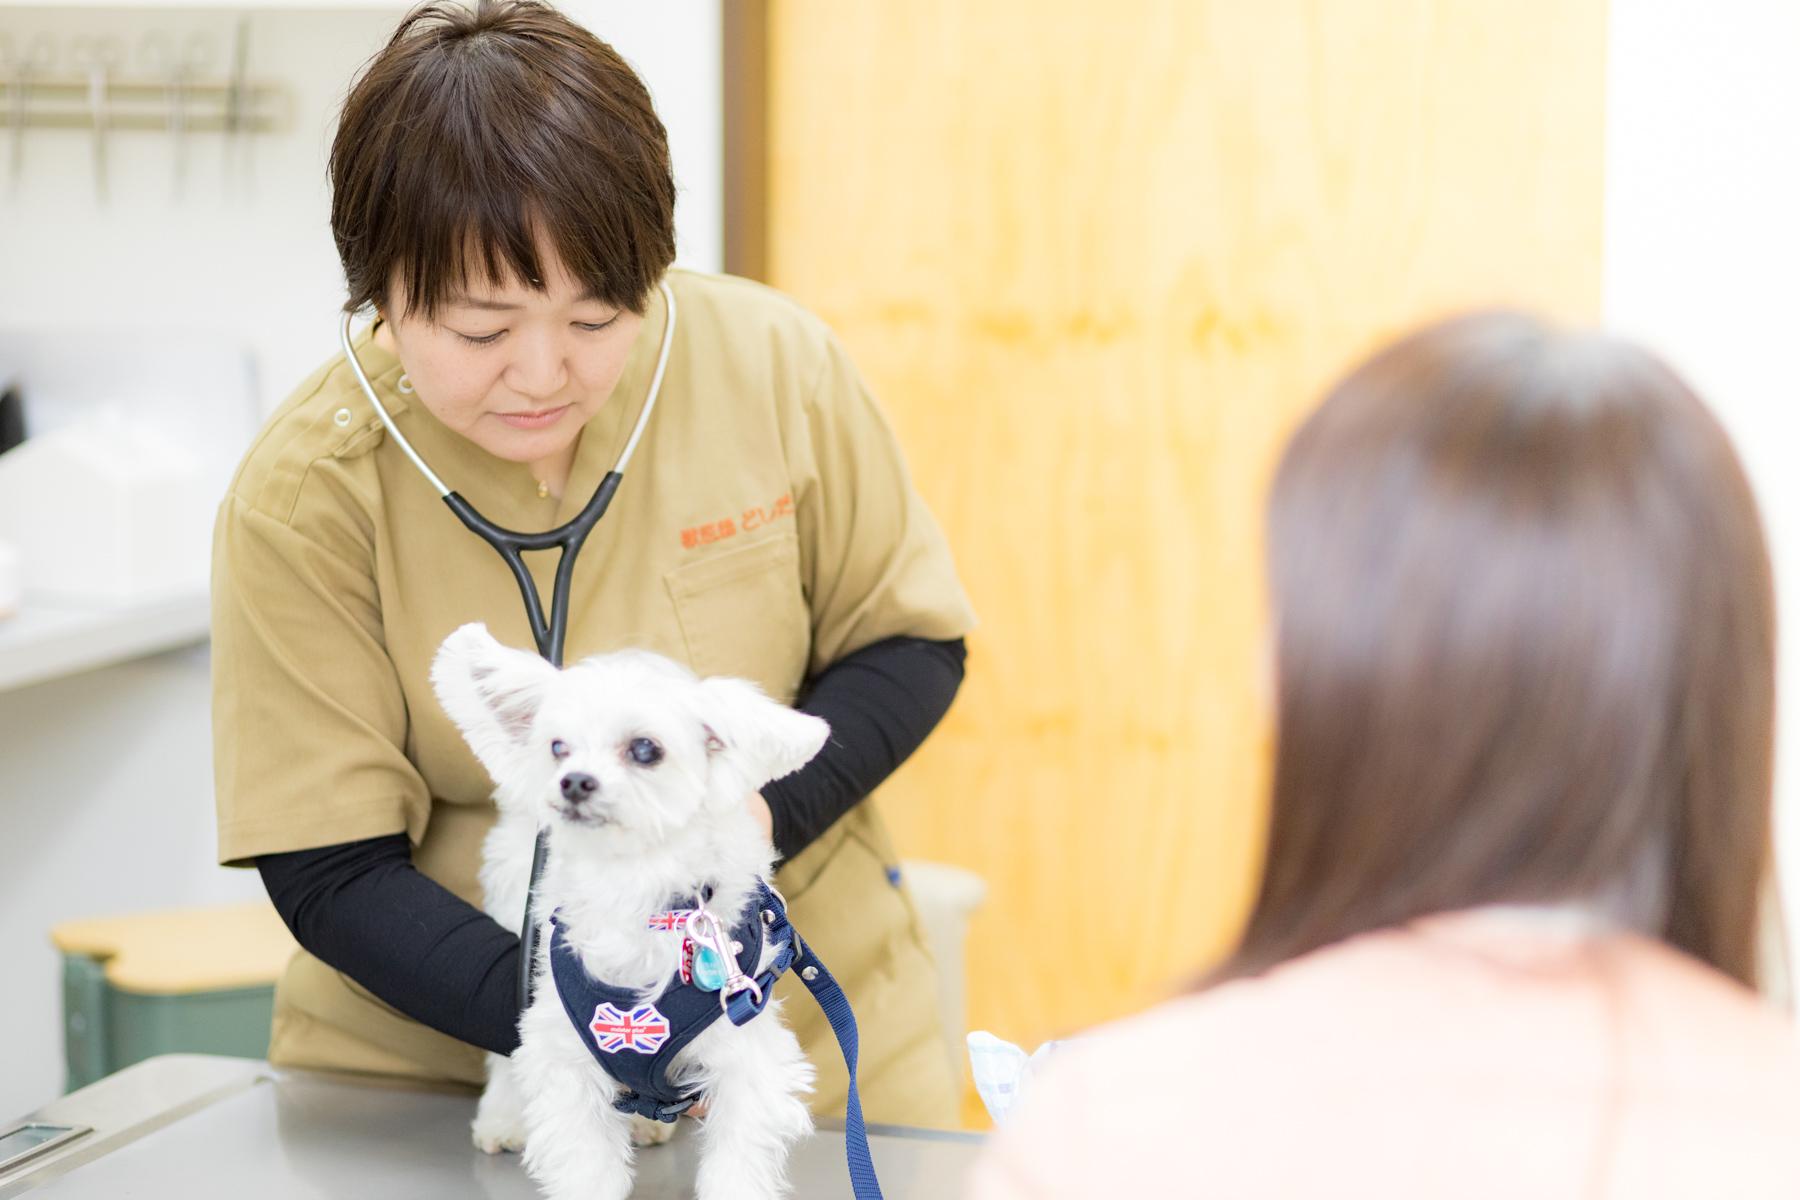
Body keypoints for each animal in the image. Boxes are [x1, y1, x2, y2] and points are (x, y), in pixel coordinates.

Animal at [432, 626, 824, 1200]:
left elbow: (737, 1166)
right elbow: (586, 1167)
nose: (573, 781)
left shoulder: (747, 1057)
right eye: (558, 747)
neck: (635, 887)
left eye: (644, 749)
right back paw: (504, 1117)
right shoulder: (568, 1059)